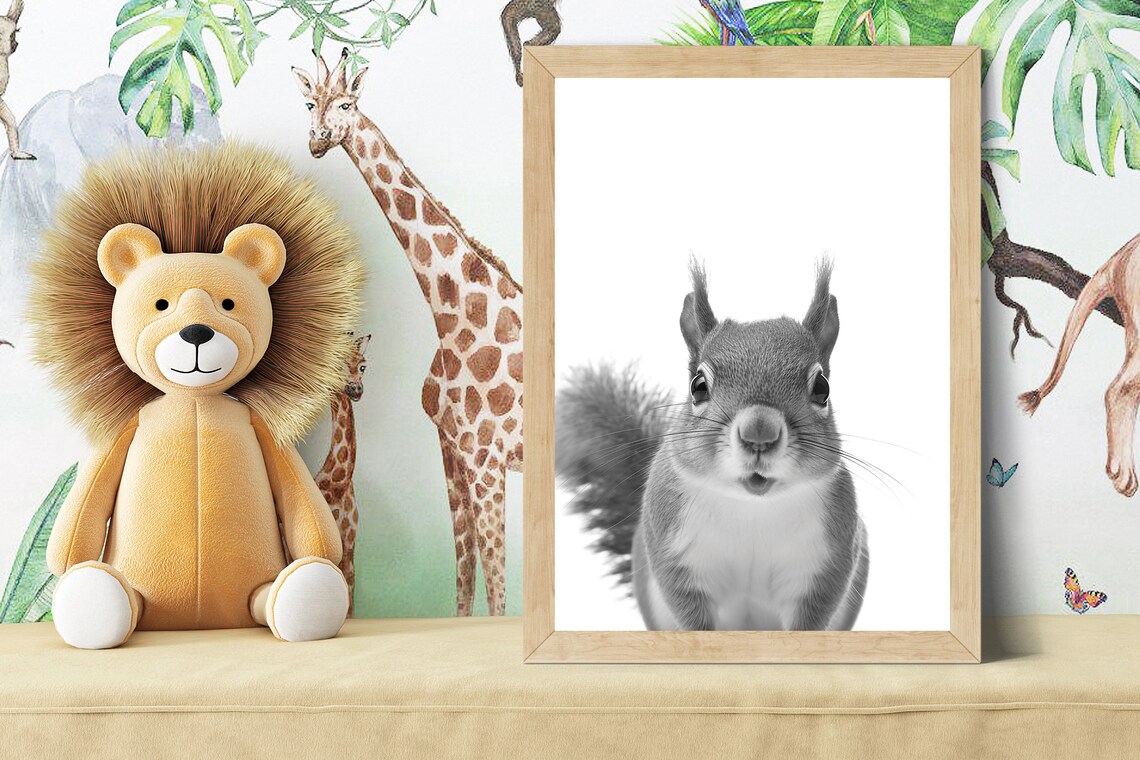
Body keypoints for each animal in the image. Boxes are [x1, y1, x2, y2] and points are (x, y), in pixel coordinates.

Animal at [556, 259, 869, 631]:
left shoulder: (824, 563)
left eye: (822, 388)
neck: (752, 509)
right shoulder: (677, 556)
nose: (759, 433)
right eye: (698, 385)